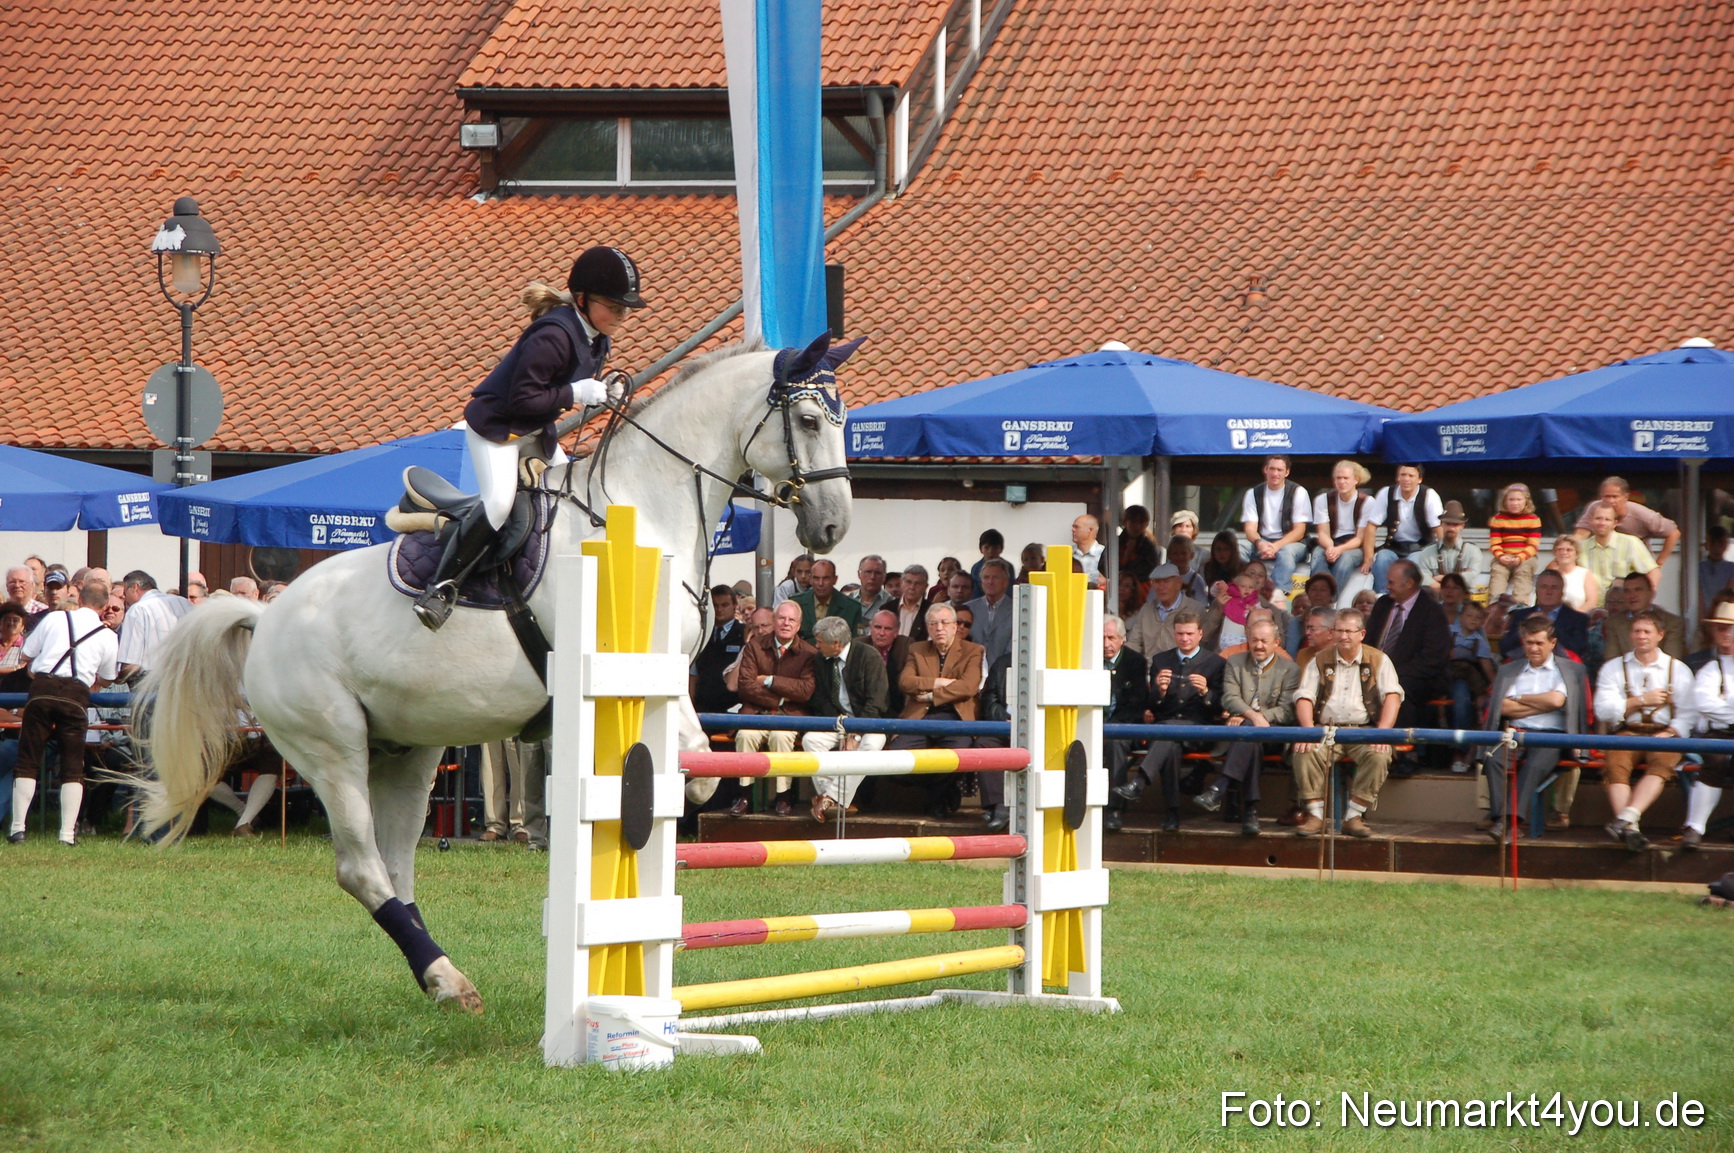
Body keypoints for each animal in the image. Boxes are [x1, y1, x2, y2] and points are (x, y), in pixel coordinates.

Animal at [136, 334, 858, 1013]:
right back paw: (446, 976)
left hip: (409, 751)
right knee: (362, 867)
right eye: (810, 419)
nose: (832, 526)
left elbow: (695, 764)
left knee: (397, 864)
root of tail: (265, 617)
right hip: (331, 745)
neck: (643, 513)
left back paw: (443, 980)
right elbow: (676, 768)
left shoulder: (669, 678)